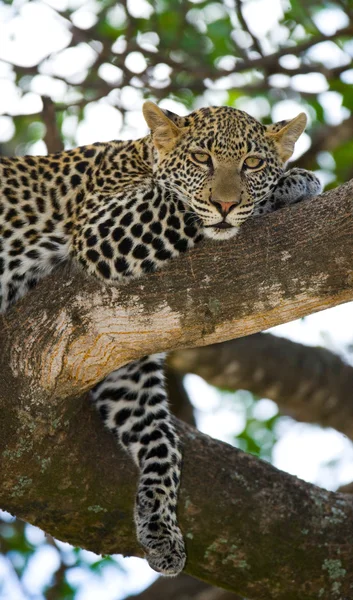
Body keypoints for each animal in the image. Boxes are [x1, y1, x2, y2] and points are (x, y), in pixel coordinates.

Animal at [0, 102, 320, 576]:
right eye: (202, 159)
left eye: (252, 163)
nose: (226, 204)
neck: (140, 157)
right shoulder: (104, 229)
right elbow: (181, 201)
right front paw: (296, 181)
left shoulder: (123, 363)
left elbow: (162, 441)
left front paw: (160, 528)